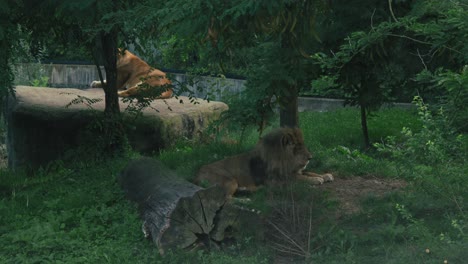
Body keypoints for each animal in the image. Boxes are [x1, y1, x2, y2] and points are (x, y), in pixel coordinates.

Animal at [194, 127, 332, 197]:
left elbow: (309, 172)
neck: (285, 161)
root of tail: (197, 174)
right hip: (230, 180)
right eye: (297, 148)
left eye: (303, 146)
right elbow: (300, 178)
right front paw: (316, 180)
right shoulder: (277, 179)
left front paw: (325, 175)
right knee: (226, 199)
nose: (310, 157)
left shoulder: (293, 171)